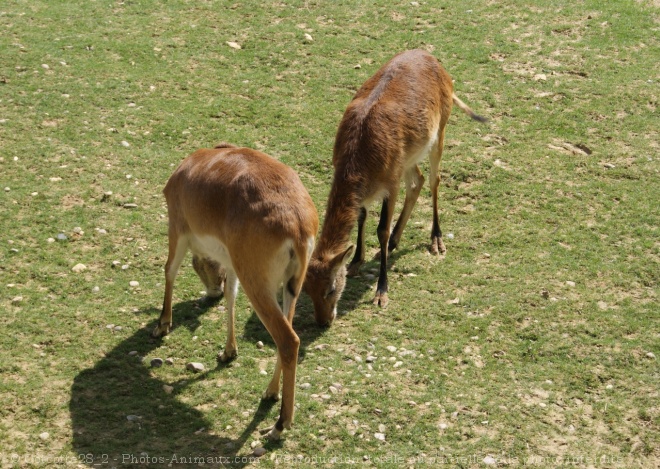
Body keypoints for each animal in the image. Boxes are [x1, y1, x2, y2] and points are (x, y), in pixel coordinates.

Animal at [155, 143, 320, 438]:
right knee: (290, 332)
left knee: (288, 340)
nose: (212, 293)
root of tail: (298, 225)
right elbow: (231, 297)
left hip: (258, 285)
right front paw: (228, 352)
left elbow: (169, 270)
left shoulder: (178, 229)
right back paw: (270, 393)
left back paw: (279, 425)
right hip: (291, 286)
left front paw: (163, 324)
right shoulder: (232, 264)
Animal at [304, 48, 484, 326]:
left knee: (434, 180)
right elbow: (362, 216)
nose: (324, 321)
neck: (360, 154)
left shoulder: (391, 183)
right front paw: (356, 262)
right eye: (306, 289)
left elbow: (381, 229)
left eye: (331, 289)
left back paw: (436, 241)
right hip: (409, 157)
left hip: (439, 134)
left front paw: (381, 293)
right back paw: (395, 243)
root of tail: (437, 63)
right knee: (418, 180)